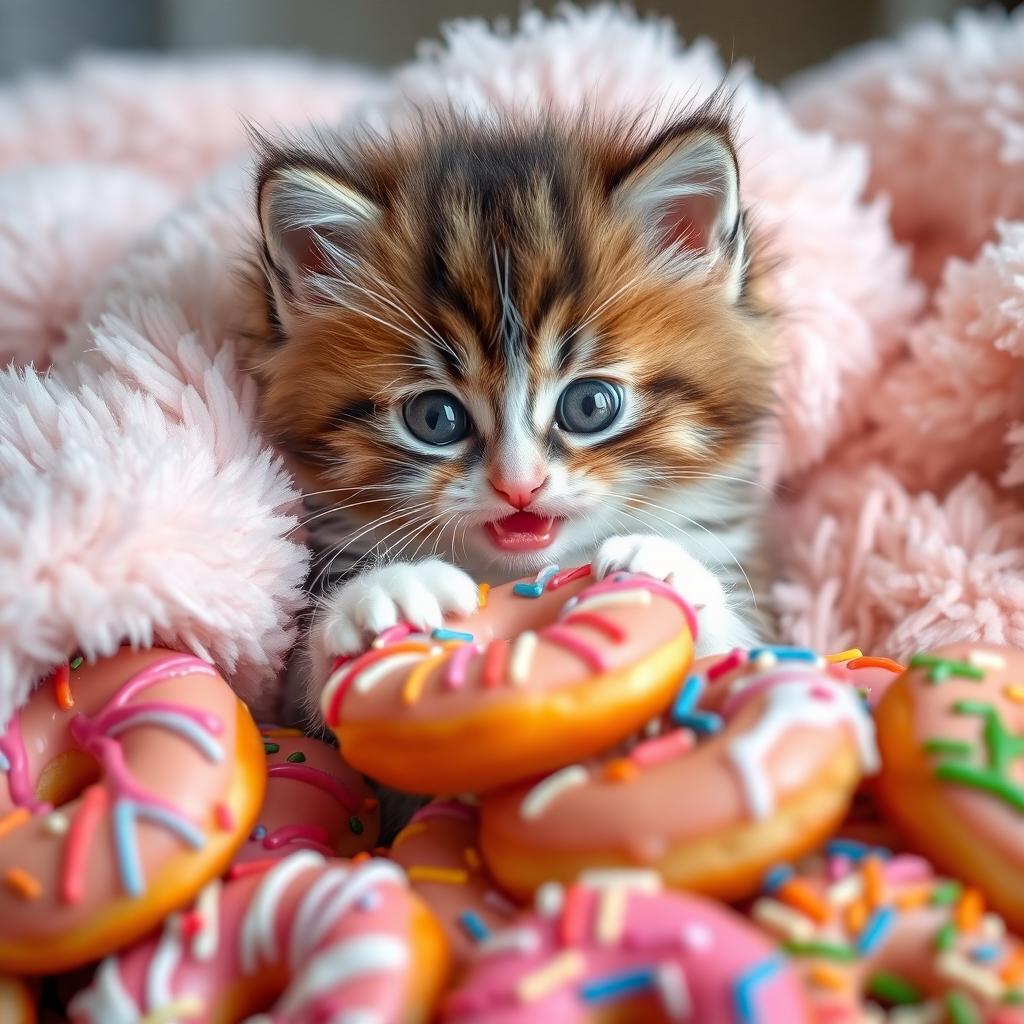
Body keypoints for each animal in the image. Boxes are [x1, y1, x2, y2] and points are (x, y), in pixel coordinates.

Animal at [249, 97, 774, 729]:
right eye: (436, 418)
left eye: (590, 405)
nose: (519, 486)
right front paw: (384, 594)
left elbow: (754, 652)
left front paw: (669, 569)